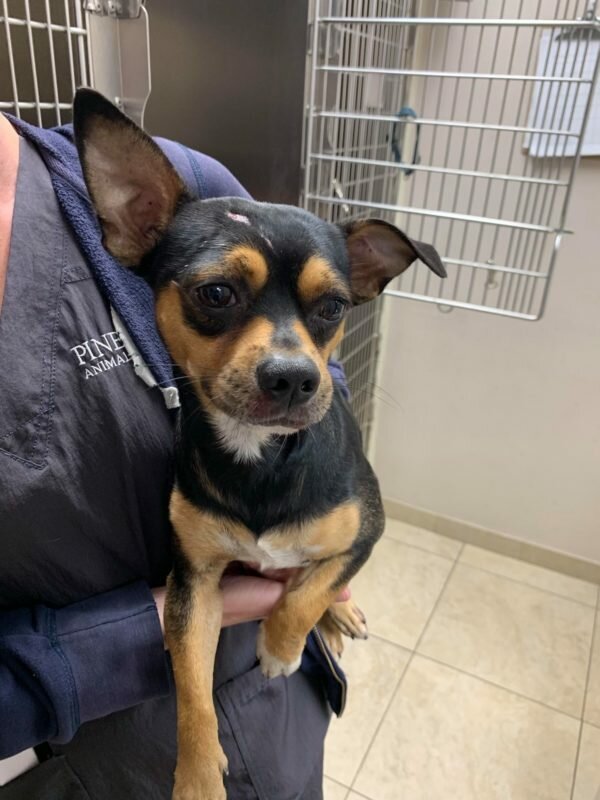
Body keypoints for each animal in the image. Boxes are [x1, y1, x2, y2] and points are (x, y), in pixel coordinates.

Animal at [73, 88, 445, 800]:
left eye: (333, 307)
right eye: (216, 292)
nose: (295, 377)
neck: (262, 456)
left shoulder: (364, 532)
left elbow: (310, 590)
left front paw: (281, 646)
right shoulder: (193, 586)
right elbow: (192, 689)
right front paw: (197, 776)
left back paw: (341, 621)